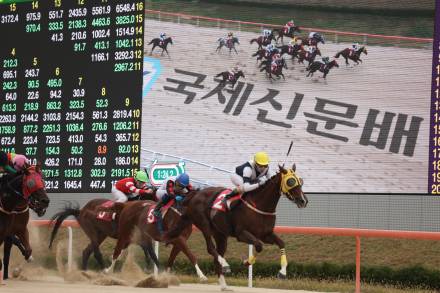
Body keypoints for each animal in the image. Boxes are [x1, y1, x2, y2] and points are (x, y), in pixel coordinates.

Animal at [167, 164, 308, 290]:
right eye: (290, 181)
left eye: (300, 181)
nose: (303, 201)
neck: (259, 205)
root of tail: (195, 194)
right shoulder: (241, 234)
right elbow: (259, 246)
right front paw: (247, 262)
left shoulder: (265, 234)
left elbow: (281, 243)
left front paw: (282, 272)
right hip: (204, 225)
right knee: (211, 248)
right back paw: (225, 265)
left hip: (220, 234)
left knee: (217, 254)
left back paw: (224, 285)